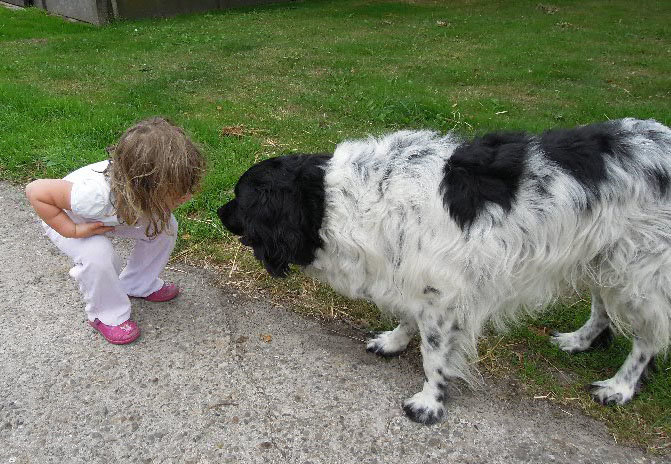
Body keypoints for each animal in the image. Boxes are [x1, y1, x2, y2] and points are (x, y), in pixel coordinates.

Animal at [218, 118, 668, 424]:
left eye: (240, 198)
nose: (217, 211)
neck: (337, 199)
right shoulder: (413, 279)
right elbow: (407, 319)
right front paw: (393, 342)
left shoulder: (442, 295)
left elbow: (433, 356)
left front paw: (429, 402)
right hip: (605, 259)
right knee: (601, 309)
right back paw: (579, 341)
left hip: (639, 275)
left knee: (647, 340)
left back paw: (620, 387)